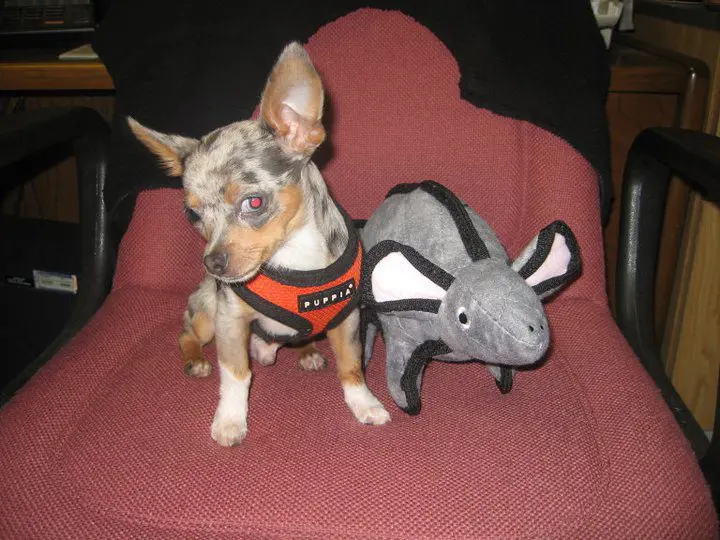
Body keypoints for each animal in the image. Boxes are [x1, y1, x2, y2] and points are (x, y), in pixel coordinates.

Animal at [128, 42, 390, 446]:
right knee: (186, 333)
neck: (295, 257)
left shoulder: (346, 320)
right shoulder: (230, 321)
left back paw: (308, 352)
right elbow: (236, 374)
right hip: (206, 315)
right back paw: (195, 360)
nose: (212, 264)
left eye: (253, 203)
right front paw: (230, 420)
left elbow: (351, 367)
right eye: (193, 215)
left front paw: (364, 403)